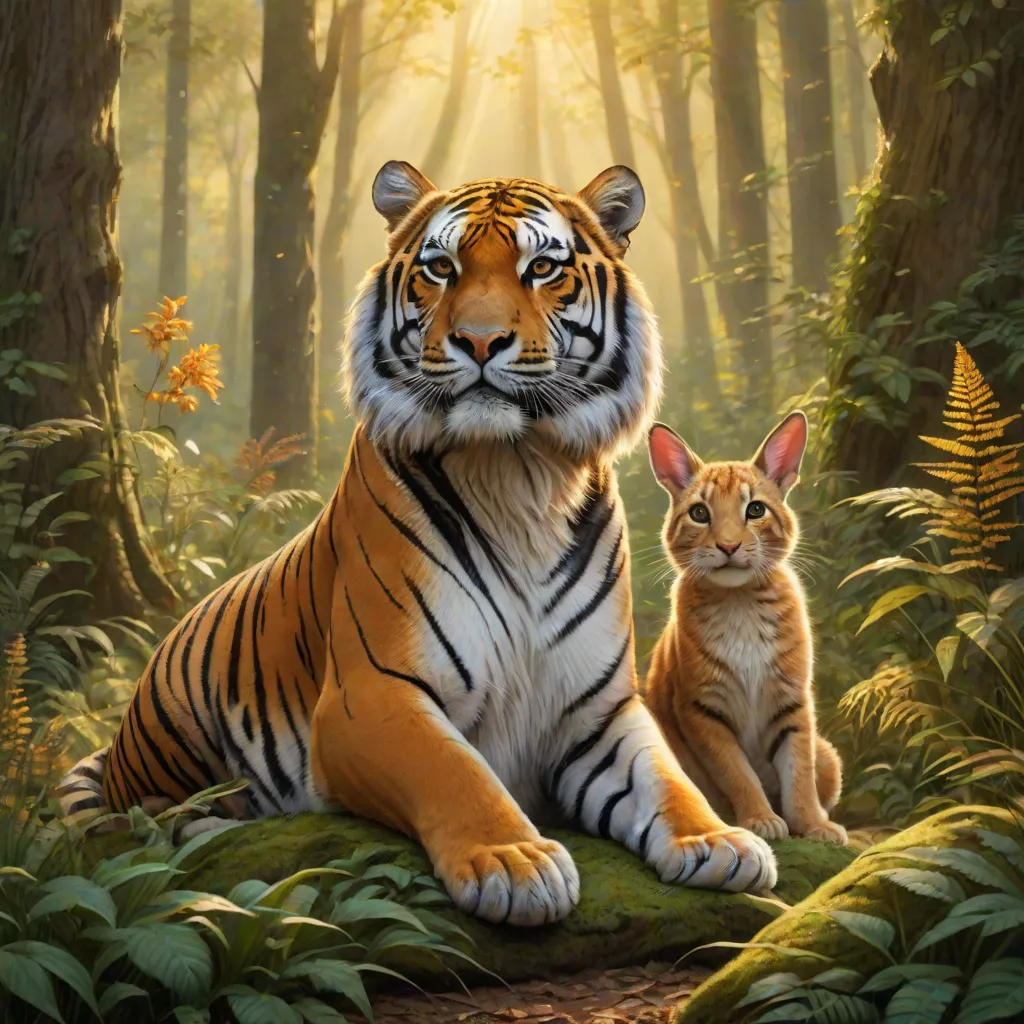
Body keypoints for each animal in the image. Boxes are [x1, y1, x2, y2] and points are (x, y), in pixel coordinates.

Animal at [58, 161, 776, 926]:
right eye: (441, 267)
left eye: (542, 267)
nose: (480, 341)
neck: (517, 474)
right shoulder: (368, 697)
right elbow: (455, 770)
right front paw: (515, 862)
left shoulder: (596, 711)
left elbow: (667, 778)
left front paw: (717, 840)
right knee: (147, 820)